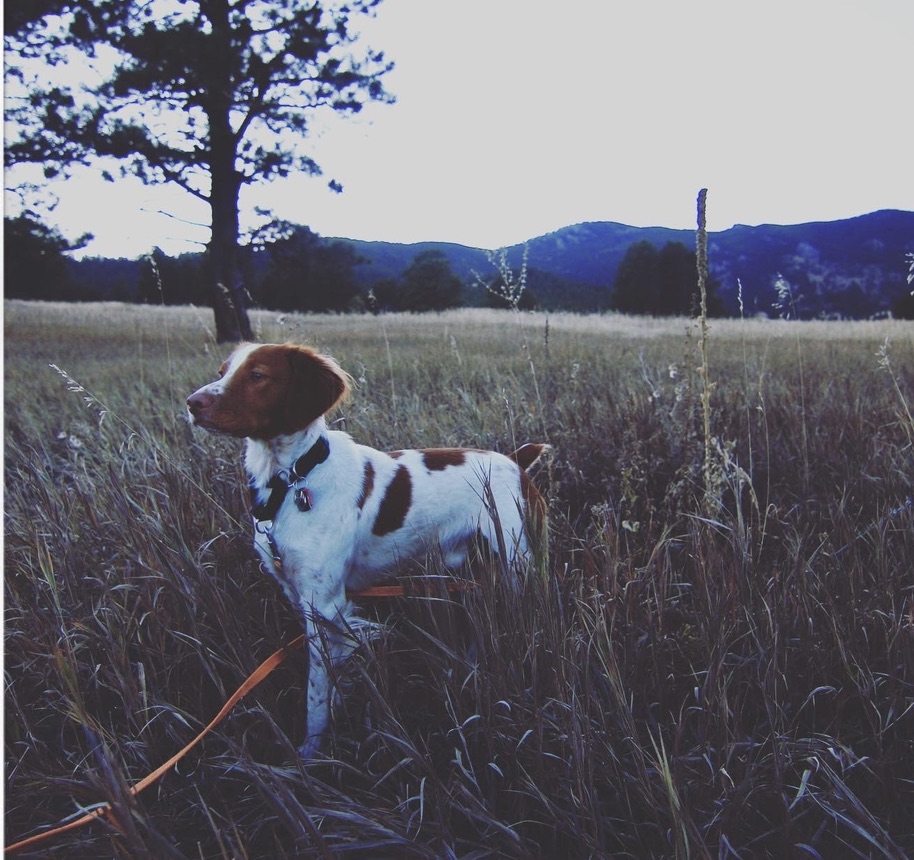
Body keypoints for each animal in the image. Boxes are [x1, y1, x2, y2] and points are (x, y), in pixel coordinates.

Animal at [182, 340, 544, 752]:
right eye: (223, 371)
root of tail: (515, 461)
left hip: (518, 563)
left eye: (257, 375)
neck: (293, 481)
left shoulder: (323, 603)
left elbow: (316, 692)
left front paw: (312, 751)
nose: (192, 403)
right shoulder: (297, 592)